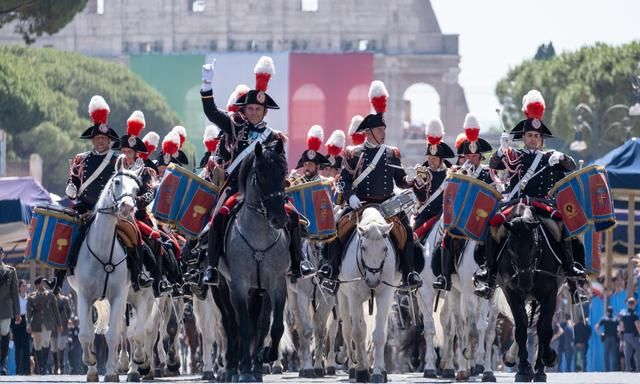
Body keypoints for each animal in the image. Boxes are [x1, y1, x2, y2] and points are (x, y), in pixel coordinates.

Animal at [67, 156, 142, 380]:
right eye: (116, 182)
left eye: (137, 189)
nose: (126, 208)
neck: (102, 248)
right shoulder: (83, 296)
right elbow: (85, 334)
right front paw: (91, 364)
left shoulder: (118, 295)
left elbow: (112, 334)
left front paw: (110, 373)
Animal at [338, 208, 398, 382]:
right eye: (363, 247)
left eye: (385, 249)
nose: (372, 280)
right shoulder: (354, 297)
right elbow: (358, 333)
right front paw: (362, 371)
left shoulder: (385, 295)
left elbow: (379, 334)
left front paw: (377, 372)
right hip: (343, 297)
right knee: (348, 329)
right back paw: (353, 367)